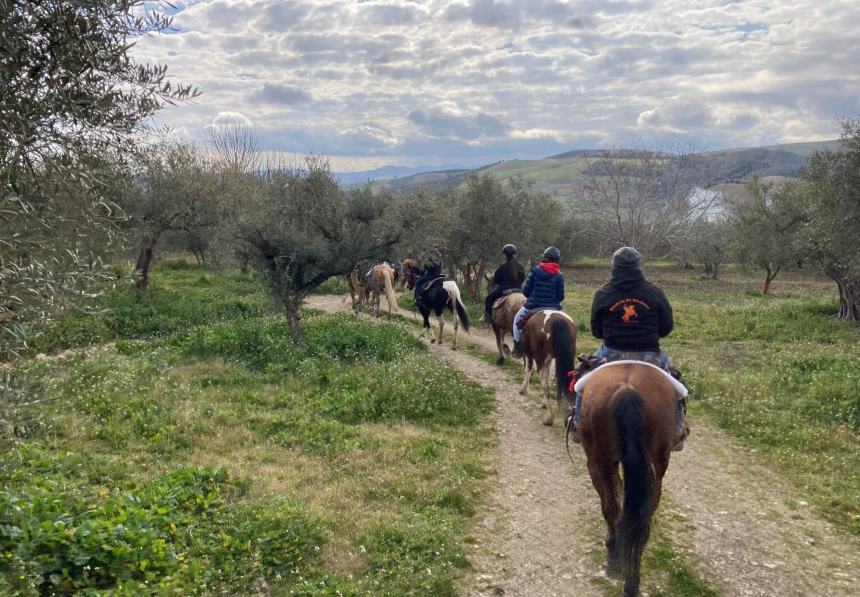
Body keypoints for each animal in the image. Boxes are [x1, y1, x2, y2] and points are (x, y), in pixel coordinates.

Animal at [576, 360, 688, 592]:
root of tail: (628, 388)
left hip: (598, 462)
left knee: (611, 509)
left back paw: (615, 560)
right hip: (655, 474)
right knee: (641, 524)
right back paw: (631, 583)